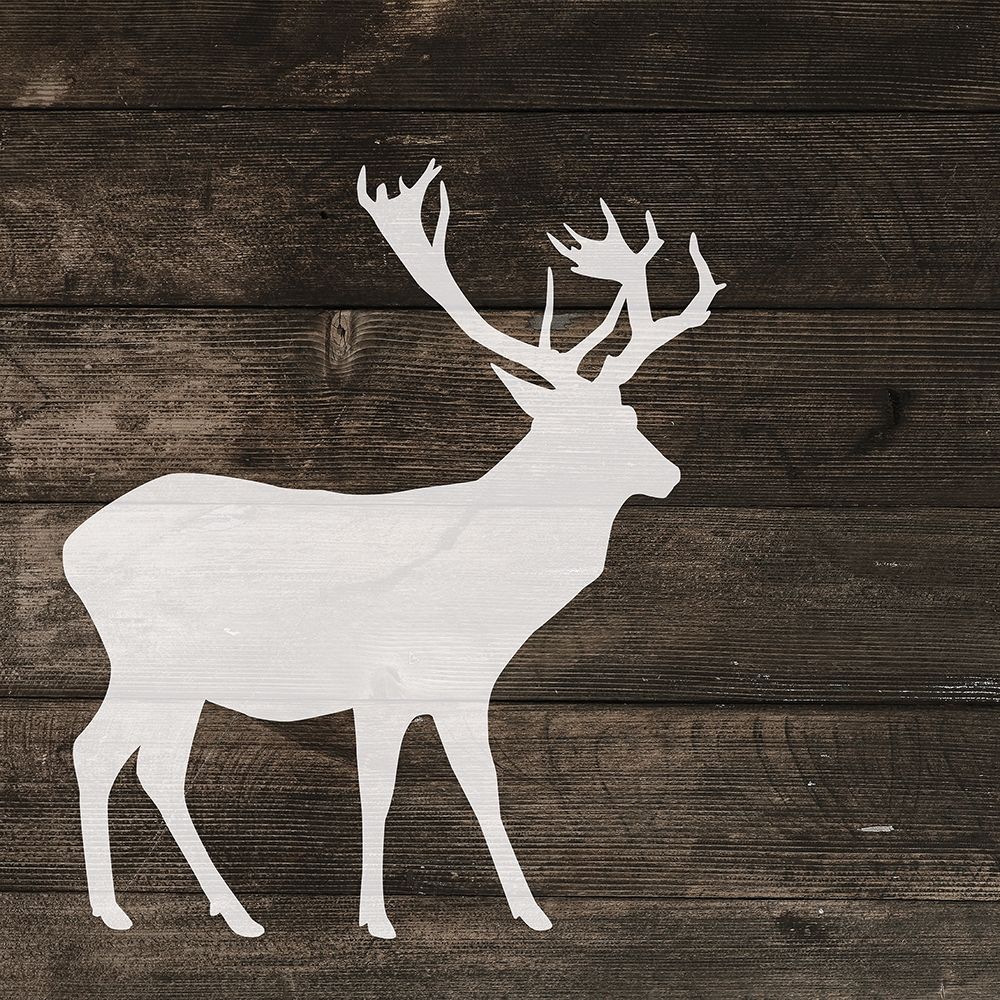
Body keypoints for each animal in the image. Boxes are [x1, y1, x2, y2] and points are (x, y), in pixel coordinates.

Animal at [65, 159, 724, 940]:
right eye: (589, 429)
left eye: (630, 414)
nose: (670, 474)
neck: (487, 592)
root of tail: (71, 547)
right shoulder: (386, 680)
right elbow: (390, 788)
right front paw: (387, 918)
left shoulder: (457, 686)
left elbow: (466, 785)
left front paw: (515, 910)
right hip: (150, 655)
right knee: (102, 751)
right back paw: (122, 911)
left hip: (180, 672)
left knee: (149, 764)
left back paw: (225, 912)